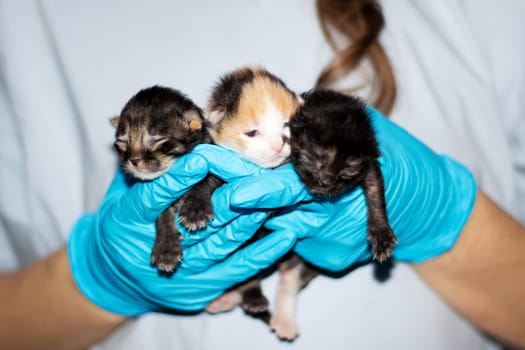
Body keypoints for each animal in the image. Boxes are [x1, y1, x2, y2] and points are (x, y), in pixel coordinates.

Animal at [111, 85, 222, 274]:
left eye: (157, 140)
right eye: (123, 143)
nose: (133, 159)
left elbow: (206, 180)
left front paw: (195, 209)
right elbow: (162, 213)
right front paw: (166, 248)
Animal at [288, 89, 396, 262]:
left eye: (346, 173)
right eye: (317, 158)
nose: (326, 181)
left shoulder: (369, 163)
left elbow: (375, 192)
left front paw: (381, 235)